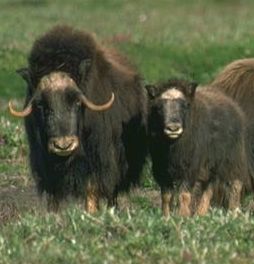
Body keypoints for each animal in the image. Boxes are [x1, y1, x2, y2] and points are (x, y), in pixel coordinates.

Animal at [9, 25, 147, 212]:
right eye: (41, 105)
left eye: (76, 101)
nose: (63, 145)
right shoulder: (44, 163)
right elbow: (53, 195)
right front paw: (53, 214)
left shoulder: (97, 158)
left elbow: (92, 189)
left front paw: (91, 212)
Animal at [146, 80, 251, 217]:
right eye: (159, 107)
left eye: (185, 105)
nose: (173, 128)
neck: (172, 145)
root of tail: (235, 108)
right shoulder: (161, 170)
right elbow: (166, 196)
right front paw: (166, 216)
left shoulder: (190, 168)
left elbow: (184, 194)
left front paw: (182, 216)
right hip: (210, 169)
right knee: (208, 189)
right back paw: (201, 214)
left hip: (232, 161)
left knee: (235, 185)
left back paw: (233, 213)